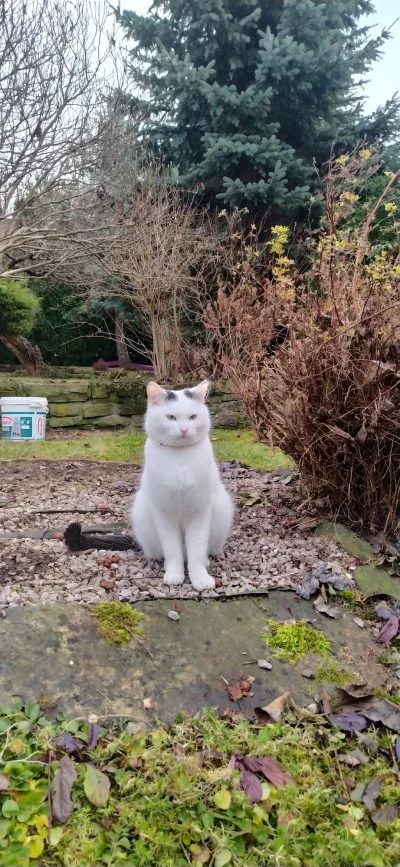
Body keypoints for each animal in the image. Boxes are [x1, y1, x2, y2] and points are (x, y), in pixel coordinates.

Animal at [132, 384, 231, 592]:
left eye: (192, 417)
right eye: (171, 417)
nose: (184, 429)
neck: (179, 457)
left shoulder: (199, 512)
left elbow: (196, 550)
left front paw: (200, 578)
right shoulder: (164, 514)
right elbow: (172, 550)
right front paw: (174, 574)